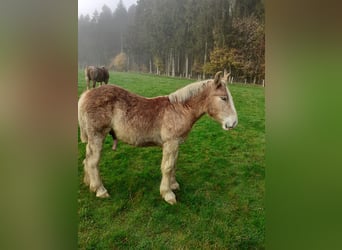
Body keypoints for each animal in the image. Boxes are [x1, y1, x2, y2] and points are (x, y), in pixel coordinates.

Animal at [77, 71, 238, 205]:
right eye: (223, 98)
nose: (233, 123)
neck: (180, 109)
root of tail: (86, 95)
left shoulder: (176, 144)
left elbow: (174, 164)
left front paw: (173, 185)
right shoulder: (170, 143)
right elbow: (167, 167)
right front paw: (168, 194)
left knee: (87, 159)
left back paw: (89, 183)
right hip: (97, 136)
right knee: (93, 162)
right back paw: (100, 190)